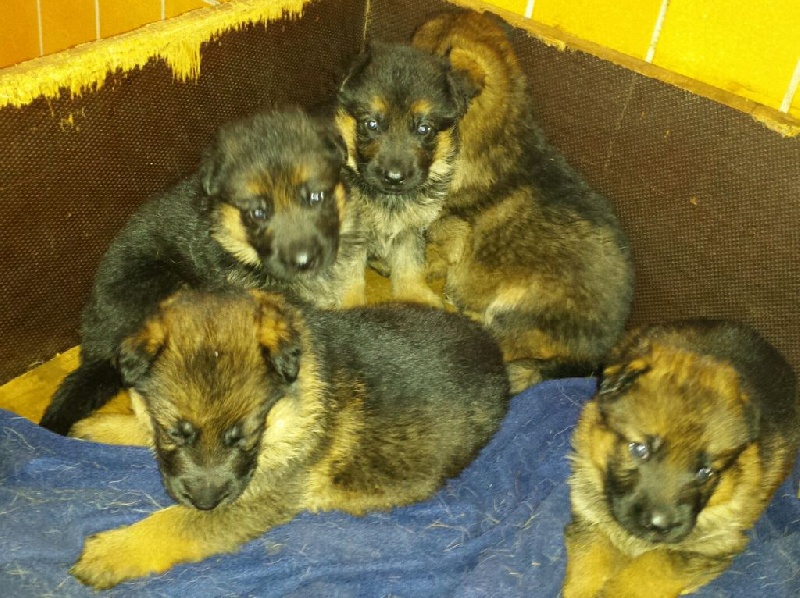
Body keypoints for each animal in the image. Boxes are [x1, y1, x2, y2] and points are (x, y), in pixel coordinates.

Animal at [67, 290, 506, 592]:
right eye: (175, 431)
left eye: (245, 434)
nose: (207, 500)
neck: (287, 408)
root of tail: (498, 359)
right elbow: (142, 427)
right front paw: (104, 426)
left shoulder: (260, 497)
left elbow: (180, 524)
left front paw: (114, 550)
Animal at [332, 42, 476, 308]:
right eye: (371, 124)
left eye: (424, 129)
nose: (394, 177)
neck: (390, 199)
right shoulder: (352, 233)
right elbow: (349, 274)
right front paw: (351, 305)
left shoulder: (411, 227)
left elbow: (410, 263)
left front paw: (414, 295)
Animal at [564, 322, 800, 596]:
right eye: (639, 449)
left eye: (704, 472)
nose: (660, 525)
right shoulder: (590, 519)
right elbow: (590, 565)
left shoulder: (708, 545)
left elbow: (649, 568)